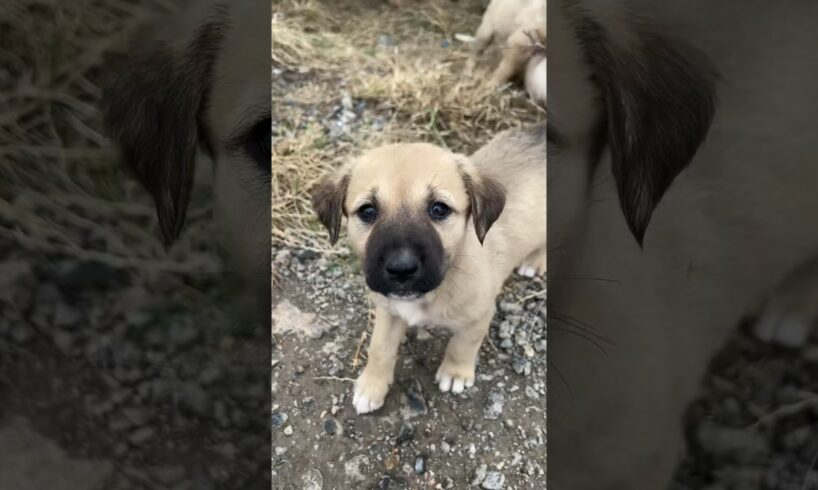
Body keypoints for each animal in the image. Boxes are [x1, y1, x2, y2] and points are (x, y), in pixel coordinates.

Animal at [310, 127, 544, 414]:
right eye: (367, 211)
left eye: (439, 209)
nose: (401, 268)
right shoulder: (388, 310)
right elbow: (379, 348)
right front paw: (371, 385)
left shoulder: (479, 316)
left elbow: (462, 345)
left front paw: (455, 373)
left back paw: (535, 261)